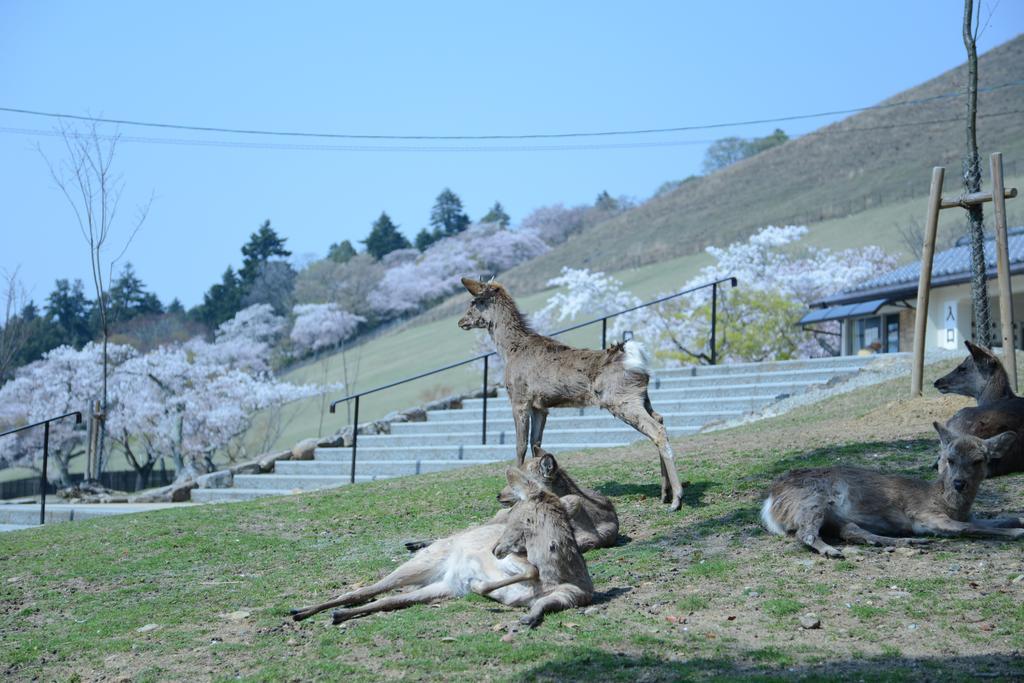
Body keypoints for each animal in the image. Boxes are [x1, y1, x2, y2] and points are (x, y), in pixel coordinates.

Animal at [288, 466, 593, 626]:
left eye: (516, 516)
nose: (494, 548)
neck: (558, 573)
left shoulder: (573, 596)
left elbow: (541, 600)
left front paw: (527, 617)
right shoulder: (515, 560)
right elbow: (530, 569)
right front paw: (480, 585)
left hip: (441, 587)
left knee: (387, 600)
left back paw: (334, 615)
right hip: (423, 563)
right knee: (365, 590)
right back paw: (300, 611)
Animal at [458, 276, 688, 507]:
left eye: (474, 302)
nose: (461, 322)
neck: (509, 351)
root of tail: (636, 358)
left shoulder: (519, 398)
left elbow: (520, 445)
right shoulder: (540, 406)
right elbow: (535, 443)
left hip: (621, 399)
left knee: (656, 430)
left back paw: (677, 498)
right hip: (641, 396)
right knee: (659, 418)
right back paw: (664, 493)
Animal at [761, 423, 1024, 557]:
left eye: (979, 460)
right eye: (949, 459)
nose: (959, 483)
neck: (948, 504)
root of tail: (771, 500)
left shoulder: (967, 515)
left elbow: (1001, 518)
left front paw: (1018, 521)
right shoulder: (926, 516)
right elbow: (968, 528)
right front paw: (1017, 533)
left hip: (831, 515)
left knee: (851, 530)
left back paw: (906, 542)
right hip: (811, 501)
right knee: (804, 533)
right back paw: (831, 551)